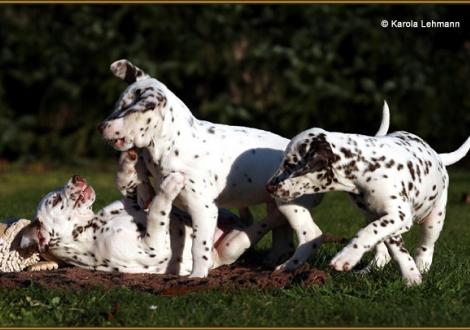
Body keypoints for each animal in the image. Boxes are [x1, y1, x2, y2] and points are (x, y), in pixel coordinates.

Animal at [20, 174, 250, 274]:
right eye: (55, 200)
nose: (76, 177)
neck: (91, 225)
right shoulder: (152, 246)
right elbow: (158, 211)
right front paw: (168, 186)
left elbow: (139, 200)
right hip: (233, 246)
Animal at [98, 60, 390, 278]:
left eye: (126, 110)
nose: (101, 127)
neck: (170, 143)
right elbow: (141, 178)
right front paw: (139, 182)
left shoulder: (203, 209)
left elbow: (199, 247)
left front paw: (197, 277)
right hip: (278, 205)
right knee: (283, 237)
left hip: (289, 203)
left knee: (311, 234)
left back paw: (287, 267)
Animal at [268, 116, 470, 286]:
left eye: (289, 164)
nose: (269, 187)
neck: (365, 167)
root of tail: (438, 156)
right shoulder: (385, 218)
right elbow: (393, 247)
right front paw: (411, 276)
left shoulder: (399, 215)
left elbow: (368, 232)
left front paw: (346, 257)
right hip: (372, 216)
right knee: (382, 251)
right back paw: (370, 270)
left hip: (434, 219)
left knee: (425, 246)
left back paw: (422, 266)